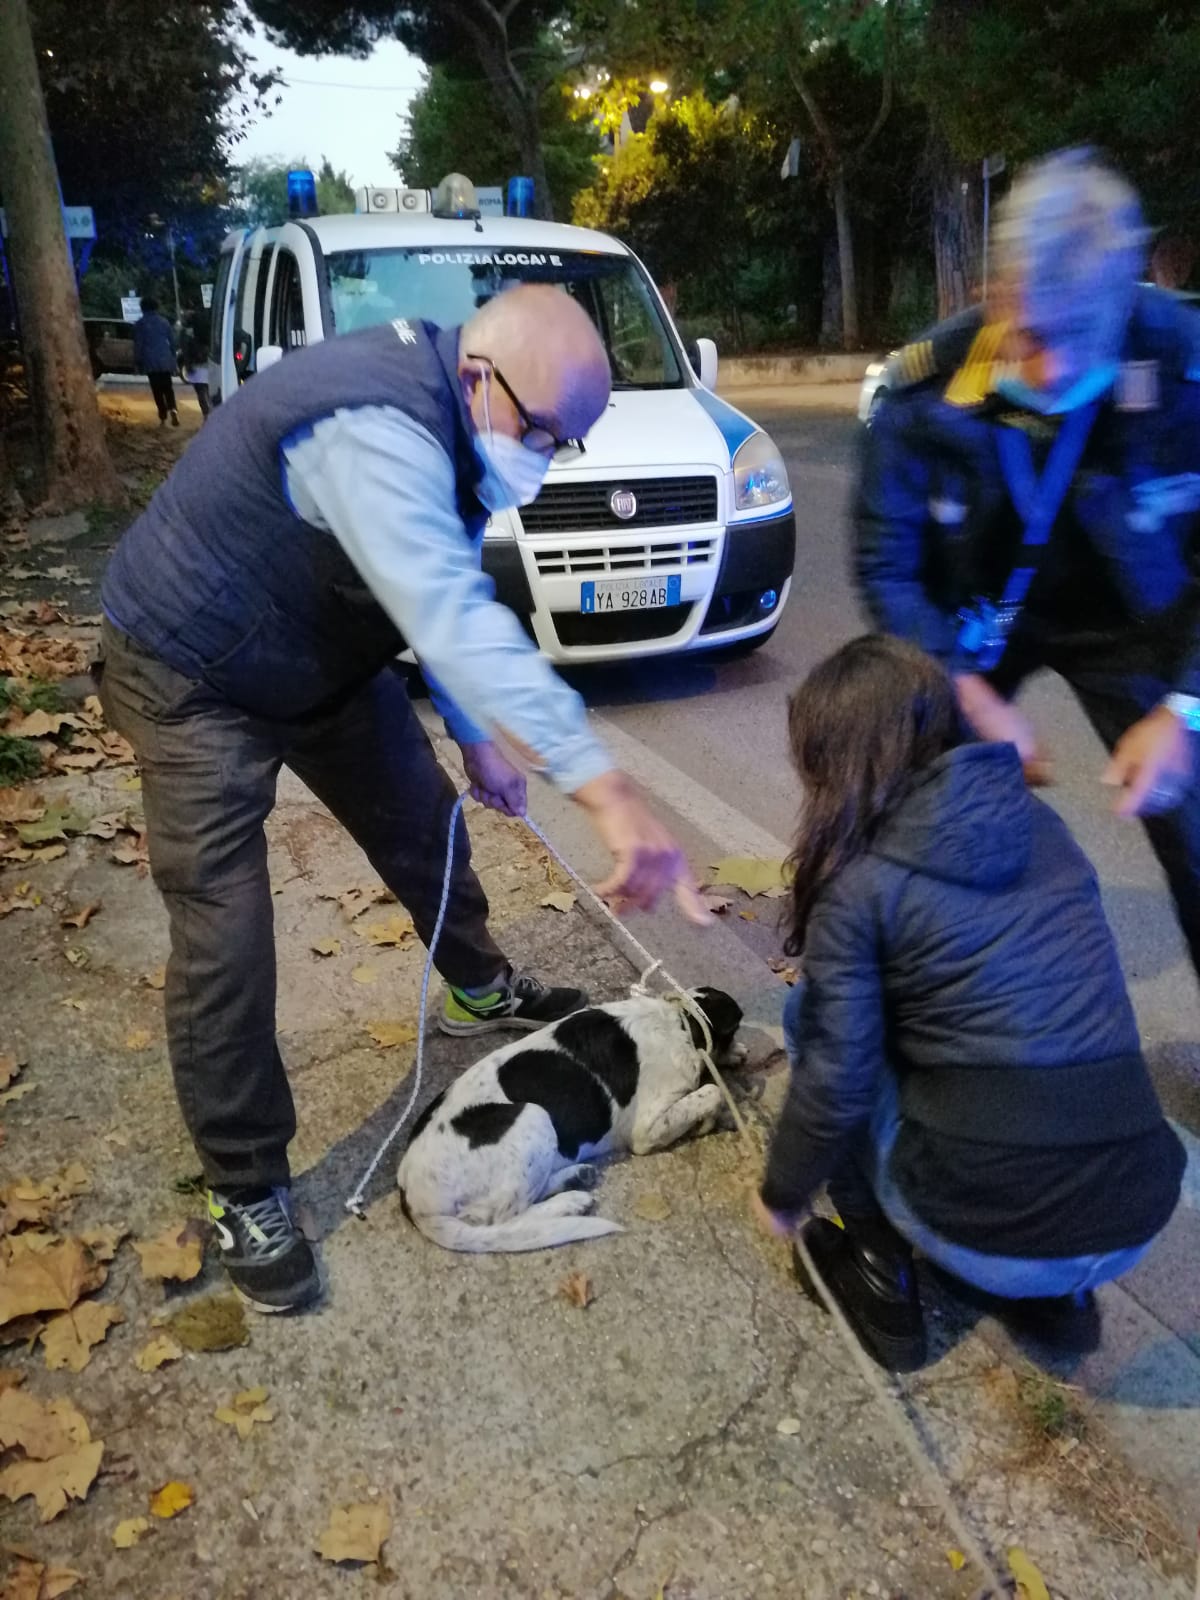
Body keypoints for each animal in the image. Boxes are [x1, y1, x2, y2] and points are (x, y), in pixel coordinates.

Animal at [400, 985, 748, 1248]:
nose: (744, 1053)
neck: (680, 1023)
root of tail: (412, 1198)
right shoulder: (647, 1128)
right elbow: (712, 1092)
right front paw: (710, 1119)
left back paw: (575, 1179)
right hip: (533, 1117)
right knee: (504, 1219)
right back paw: (568, 1203)